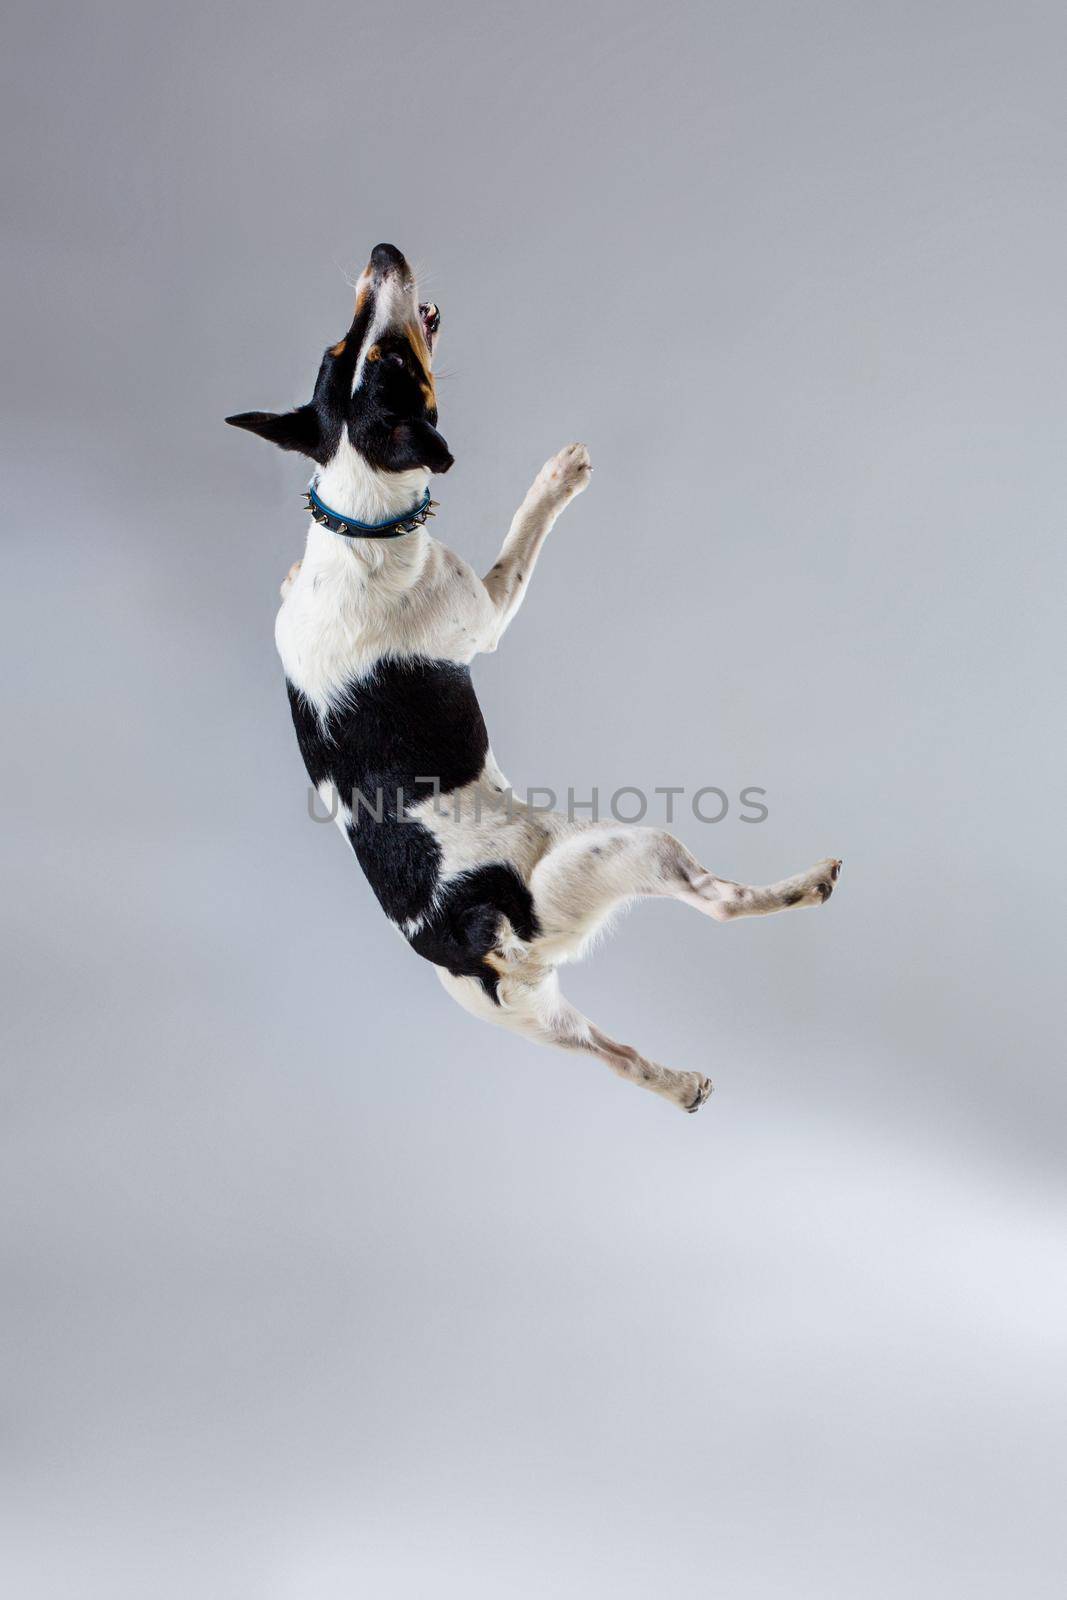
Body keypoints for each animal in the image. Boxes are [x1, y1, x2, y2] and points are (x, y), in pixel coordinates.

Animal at [227, 240, 844, 1113]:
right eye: (386, 359)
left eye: (342, 350)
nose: (383, 253)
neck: (359, 518)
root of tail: (470, 935)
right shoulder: (485, 610)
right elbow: (520, 542)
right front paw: (557, 478)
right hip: (621, 852)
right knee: (719, 903)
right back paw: (804, 886)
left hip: (524, 1014)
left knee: (614, 1058)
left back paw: (678, 1084)